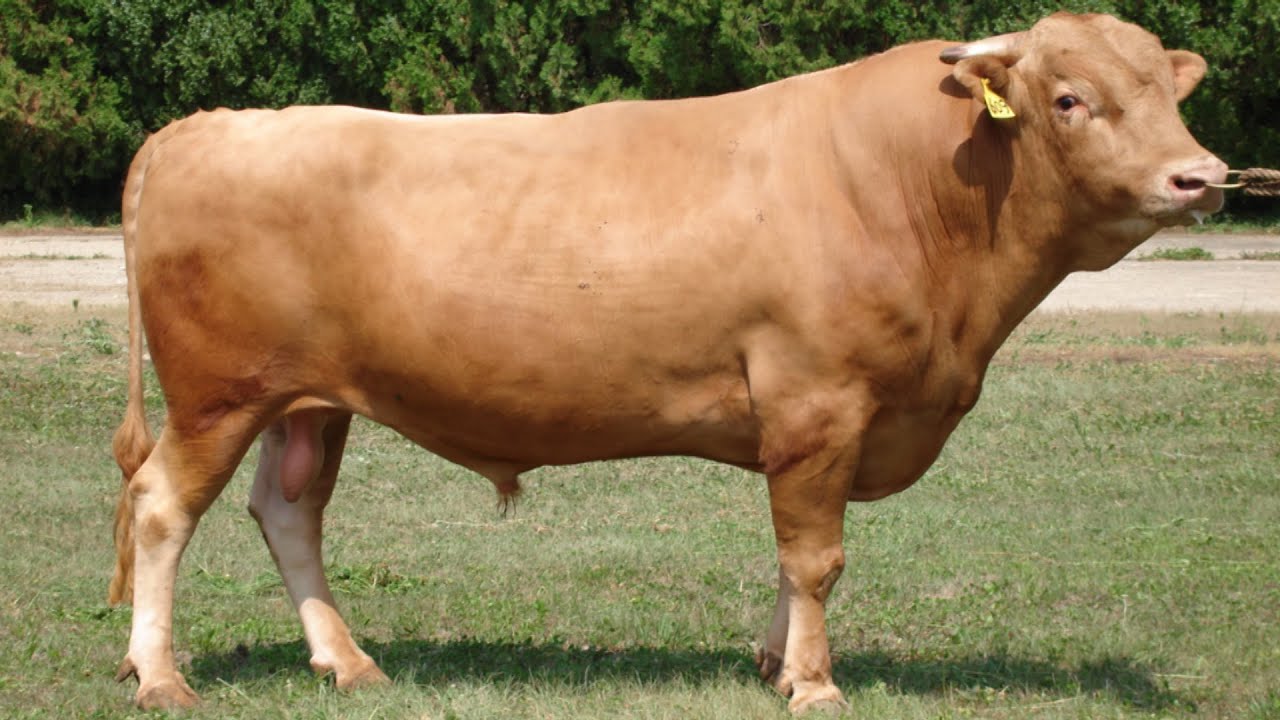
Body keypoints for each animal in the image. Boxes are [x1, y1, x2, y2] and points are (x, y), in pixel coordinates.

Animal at [107, 12, 1225, 713]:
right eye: (1070, 97)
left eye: (1163, 94)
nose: (1200, 175)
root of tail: (204, 126)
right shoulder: (819, 399)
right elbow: (815, 555)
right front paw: (816, 684)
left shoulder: (820, 422)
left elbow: (794, 551)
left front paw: (776, 662)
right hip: (218, 393)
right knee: (162, 508)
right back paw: (160, 677)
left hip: (307, 399)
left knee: (288, 510)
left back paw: (347, 663)